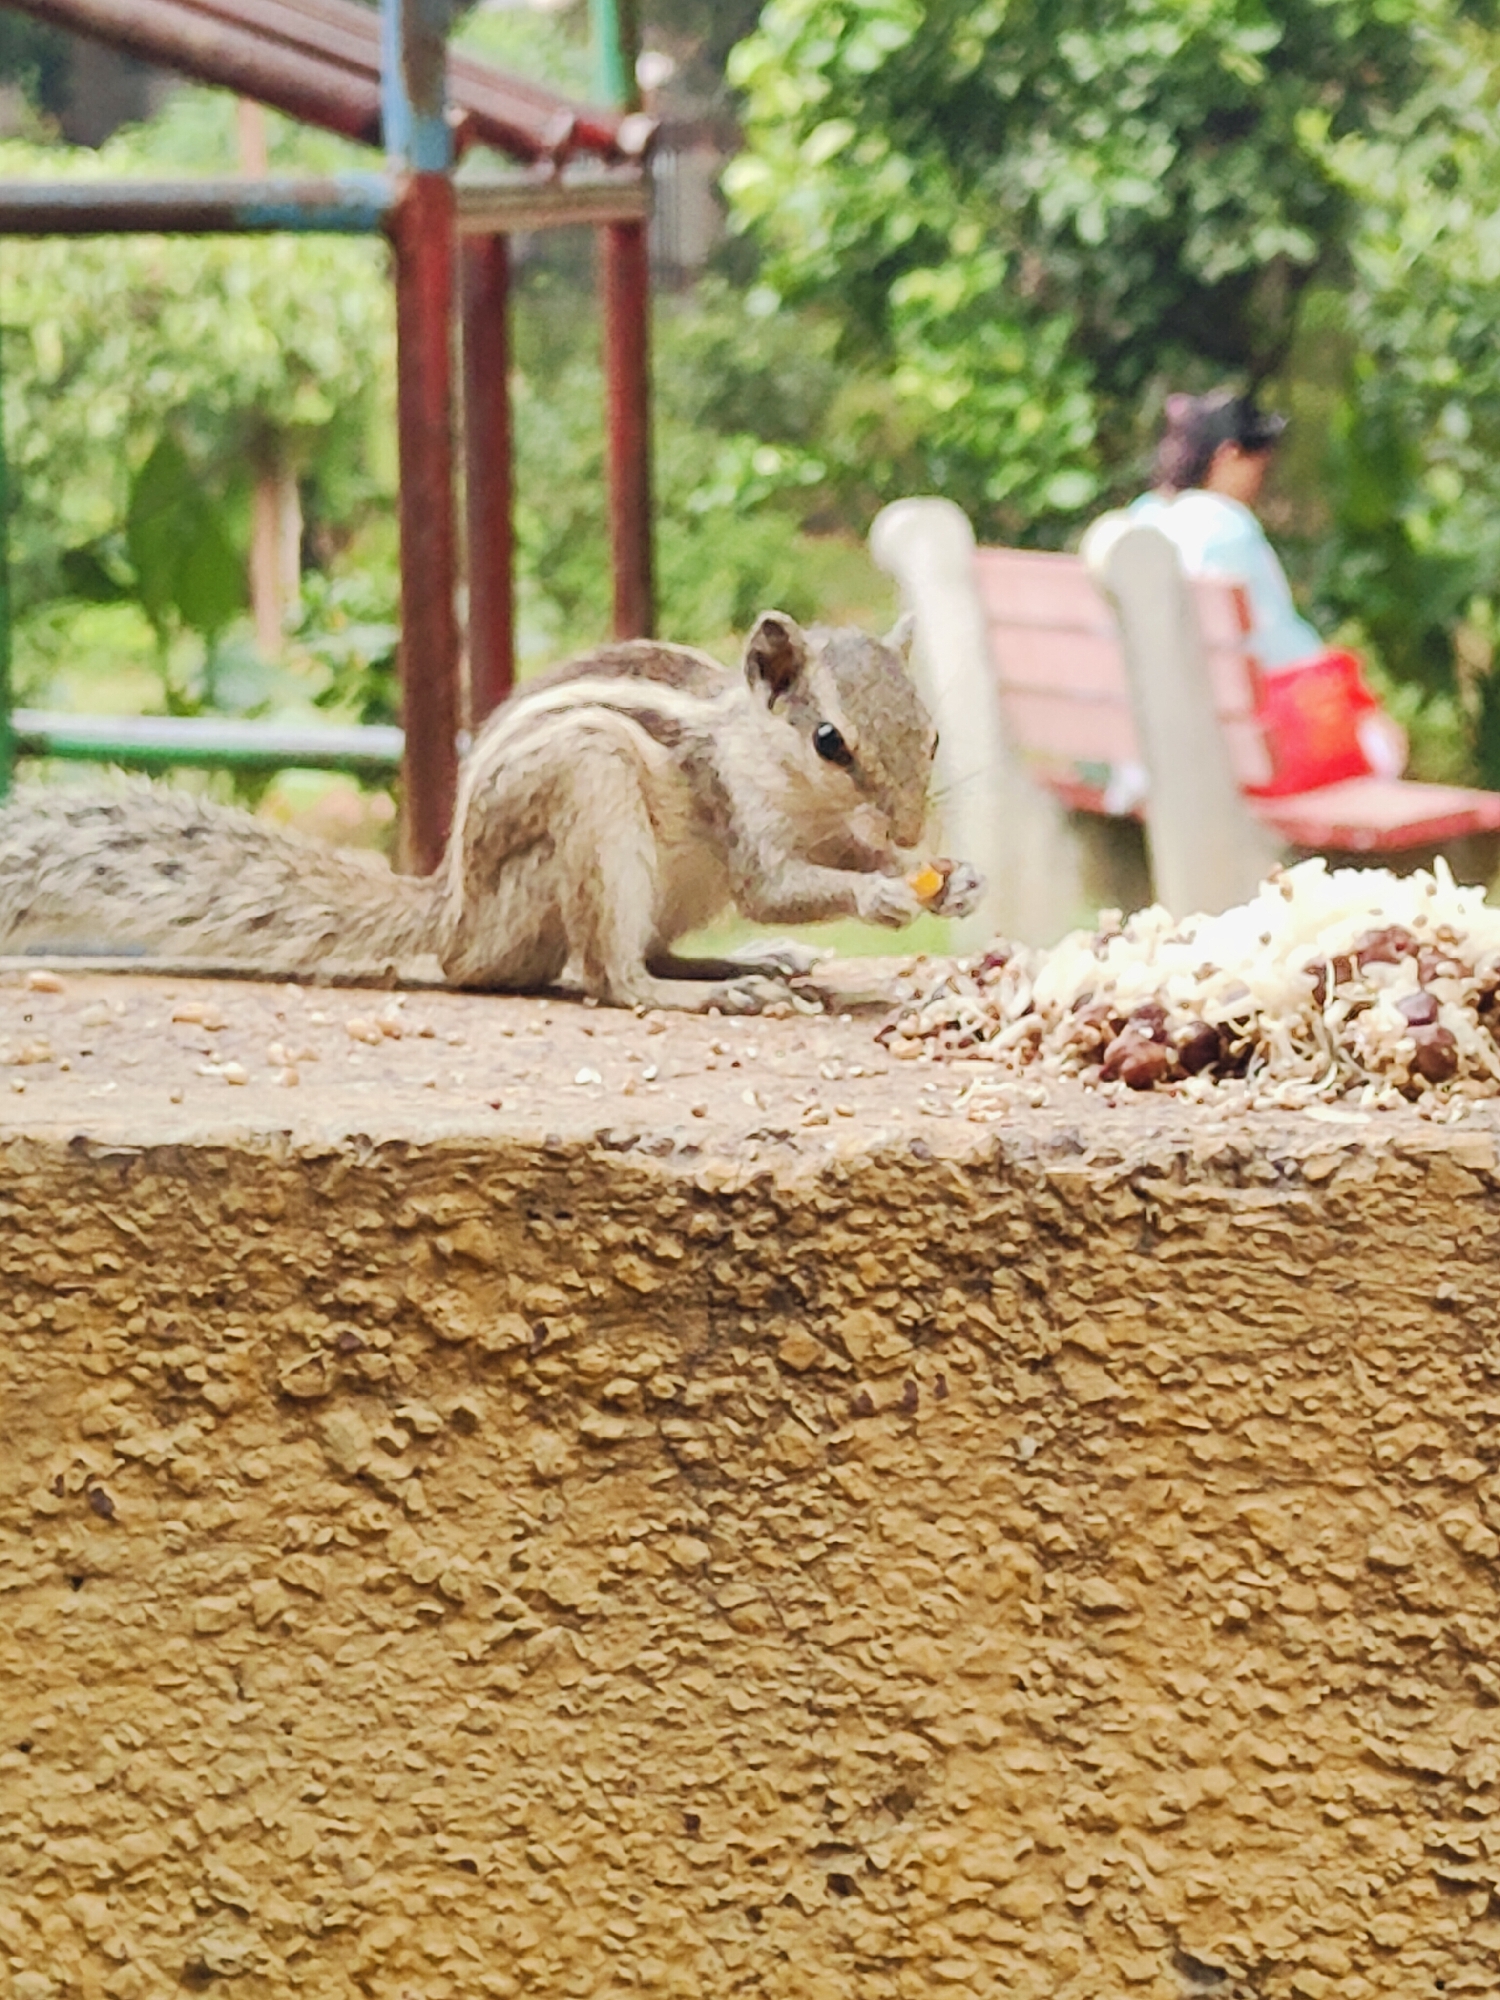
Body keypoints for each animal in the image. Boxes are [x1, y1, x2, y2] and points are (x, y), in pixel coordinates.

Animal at [0, 610, 982, 1012]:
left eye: (935, 736)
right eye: (829, 741)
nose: (910, 829)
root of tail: (453, 916)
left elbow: (843, 865)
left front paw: (944, 877)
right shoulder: (741, 816)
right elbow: (778, 888)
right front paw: (880, 895)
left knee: (649, 951)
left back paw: (750, 964)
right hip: (590, 795)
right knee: (614, 976)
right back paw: (709, 992)